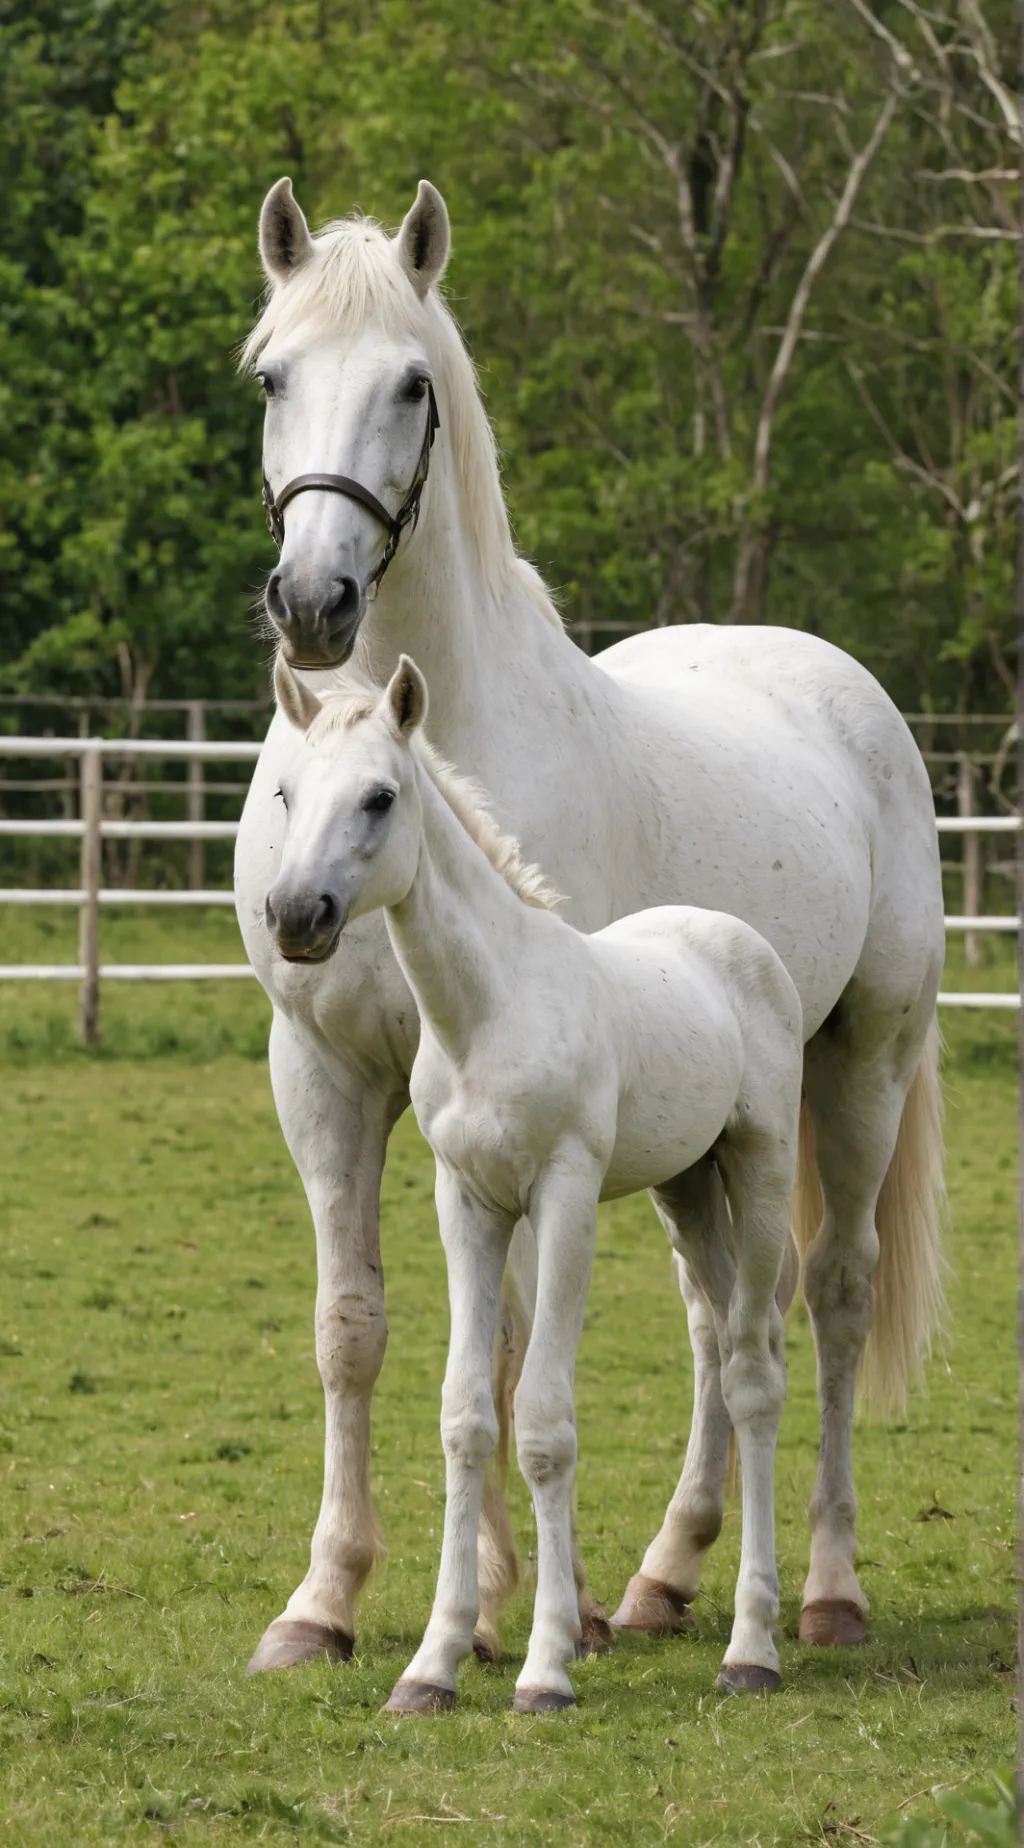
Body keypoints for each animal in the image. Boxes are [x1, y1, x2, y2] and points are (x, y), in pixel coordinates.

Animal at [265, 649, 805, 1712]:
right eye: (285, 792)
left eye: (381, 797)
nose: (297, 916)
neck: (493, 1009)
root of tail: (738, 939)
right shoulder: (467, 1202)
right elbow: (468, 1417)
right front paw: (431, 1667)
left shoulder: (563, 1198)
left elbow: (547, 1424)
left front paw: (548, 1665)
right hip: (689, 1188)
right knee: (722, 1348)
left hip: (760, 1170)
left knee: (757, 1375)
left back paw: (752, 1650)